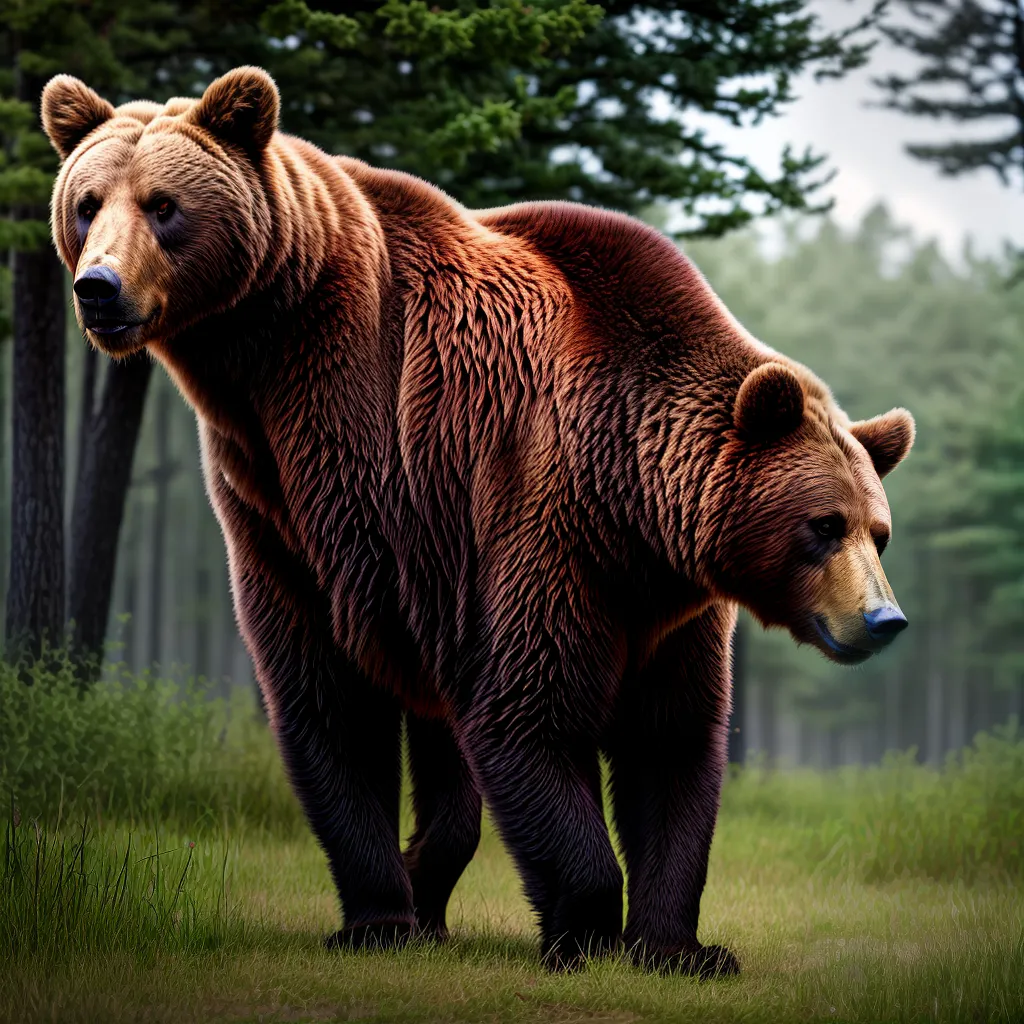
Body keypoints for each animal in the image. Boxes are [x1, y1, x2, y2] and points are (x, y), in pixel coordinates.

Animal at [42, 66, 914, 975]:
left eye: (874, 530)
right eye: (90, 202)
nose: (882, 618)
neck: (631, 497)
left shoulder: (665, 603)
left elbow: (670, 745)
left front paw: (680, 946)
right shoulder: (541, 521)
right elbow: (527, 714)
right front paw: (583, 929)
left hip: (411, 548)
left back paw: (423, 888)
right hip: (305, 517)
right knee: (328, 700)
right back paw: (381, 915)